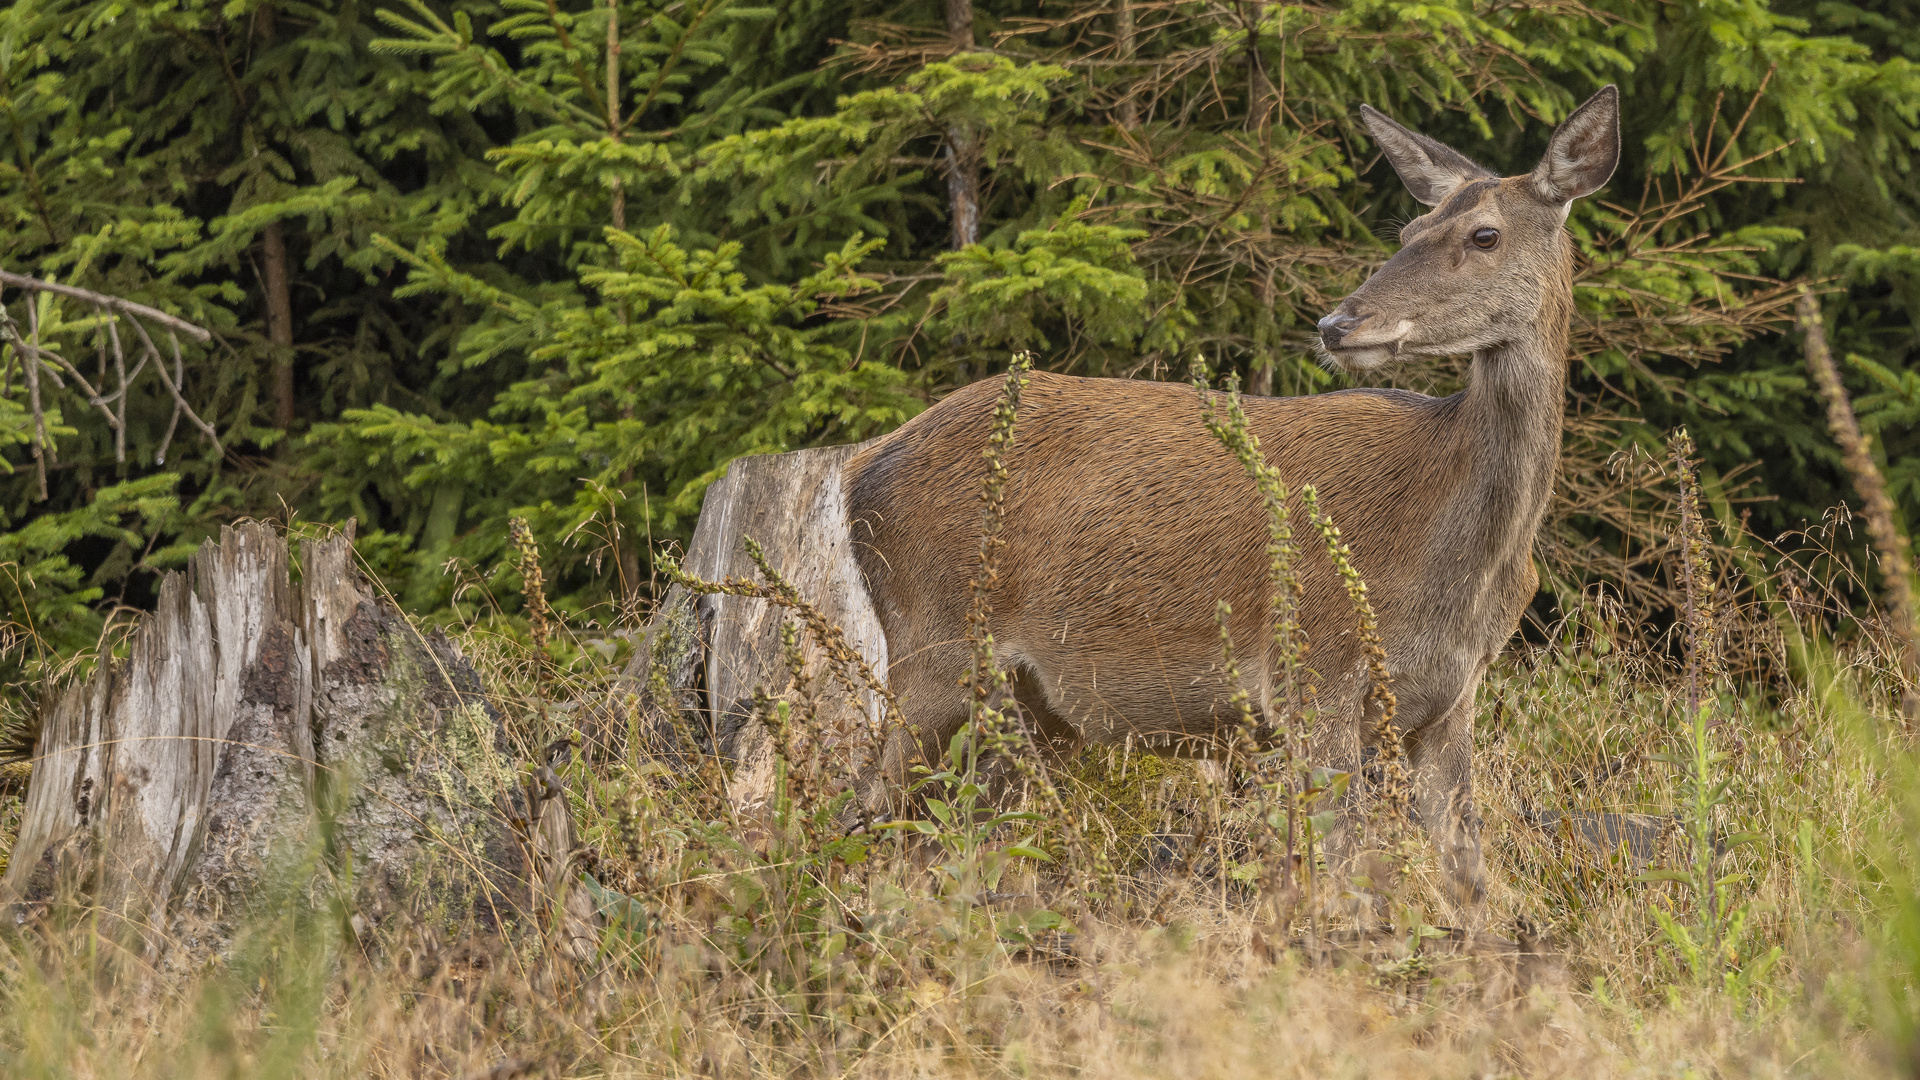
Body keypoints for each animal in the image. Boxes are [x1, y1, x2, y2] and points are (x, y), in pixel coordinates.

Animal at [848, 84, 1612, 910]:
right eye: (1410, 228)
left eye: (1484, 234)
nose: (1337, 323)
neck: (1464, 563)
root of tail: (859, 468)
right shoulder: (1313, 666)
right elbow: (1345, 871)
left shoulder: (1452, 697)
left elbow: (1468, 878)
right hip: (931, 645)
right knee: (865, 811)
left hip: (1031, 705)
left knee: (960, 837)